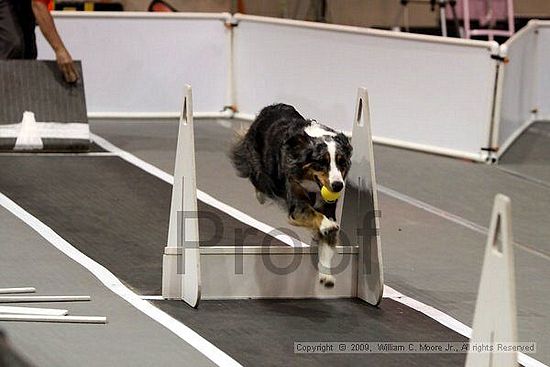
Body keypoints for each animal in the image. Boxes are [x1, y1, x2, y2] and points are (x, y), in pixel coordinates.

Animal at [232, 103, 354, 288]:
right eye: (322, 162)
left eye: (342, 162)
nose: (338, 185)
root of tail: (269, 108)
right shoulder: (296, 202)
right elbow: (313, 214)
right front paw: (327, 225)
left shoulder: (328, 206)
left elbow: (327, 243)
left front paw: (326, 275)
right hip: (259, 166)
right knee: (259, 181)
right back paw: (261, 194)